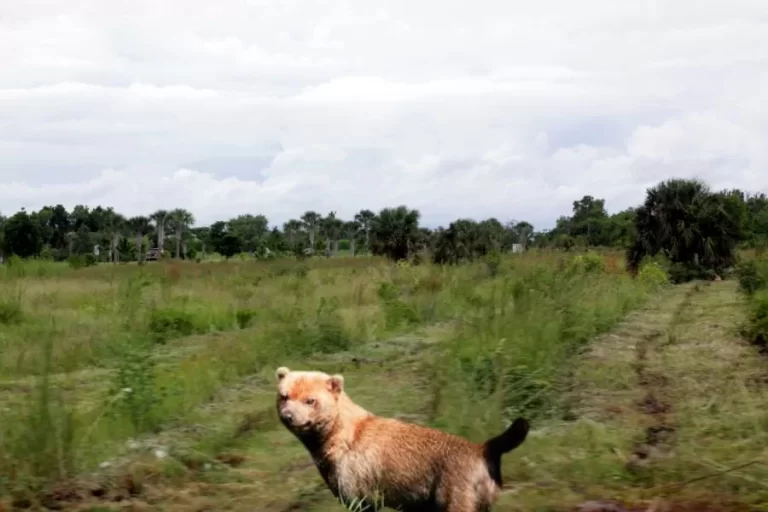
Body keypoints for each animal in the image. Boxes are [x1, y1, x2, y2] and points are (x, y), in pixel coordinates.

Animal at [272, 366, 532, 510]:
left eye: (310, 400)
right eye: (284, 396)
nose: (288, 416)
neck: (339, 435)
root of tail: (483, 449)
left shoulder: (360, 493)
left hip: (456, 495)